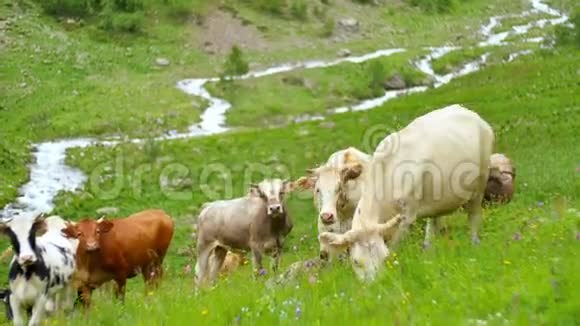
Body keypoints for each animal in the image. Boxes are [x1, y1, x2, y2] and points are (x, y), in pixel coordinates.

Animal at [322, 105, 494, 282]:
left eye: (384, 257)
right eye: (356, 262)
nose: (377, 284)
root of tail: (467, 111)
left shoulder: (407, 217)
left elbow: (394, 246)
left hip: (480, 183)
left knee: (473, 217)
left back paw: (474, 243)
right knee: (433, 225)